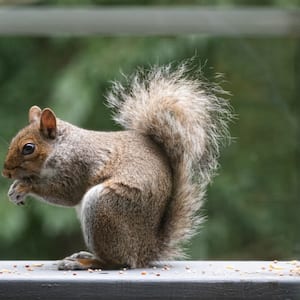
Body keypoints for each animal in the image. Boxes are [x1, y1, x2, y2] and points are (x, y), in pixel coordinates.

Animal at [2, 63, 231, 270]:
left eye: (28, 148)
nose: (6, 172)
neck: (62, 146)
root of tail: (145, 250)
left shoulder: (79, 164)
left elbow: (67, 193)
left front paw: (24, 186)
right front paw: (14, 189)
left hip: (104, 207)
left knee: (116, 261)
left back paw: (84, 263)